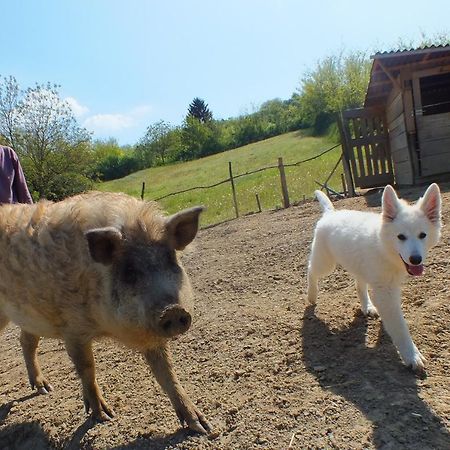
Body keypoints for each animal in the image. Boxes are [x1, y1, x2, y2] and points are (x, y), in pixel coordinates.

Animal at [308, 185, 442, 370]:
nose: (416, 259)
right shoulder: (385, 291)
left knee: (359, 285)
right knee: (311, 270)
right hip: (325, 263)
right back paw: (311, 295)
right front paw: (411, 355)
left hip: (359, 267)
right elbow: (400, 327)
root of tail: (330, 213)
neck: (384, 247)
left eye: (423, 235)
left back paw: (367, 306)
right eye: (401, 237)